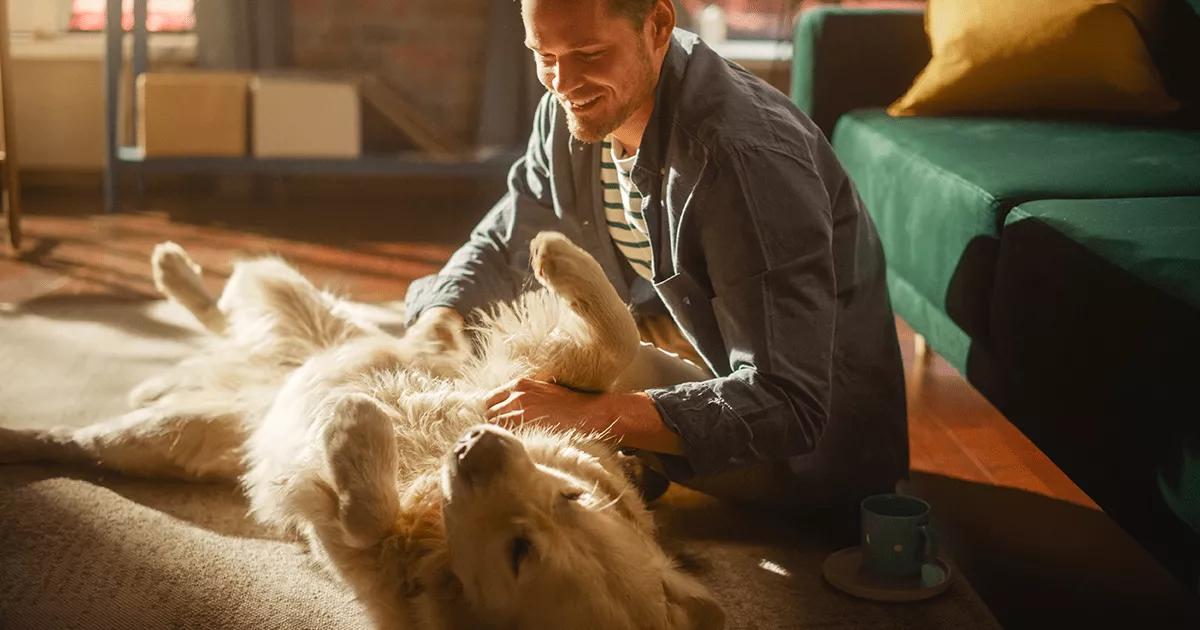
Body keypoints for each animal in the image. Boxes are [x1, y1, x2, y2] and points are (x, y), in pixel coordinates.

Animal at [0, 231, 720, 628]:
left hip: (162, 438)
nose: (477, 446)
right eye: (569, 497)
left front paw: (352, 420)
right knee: (232, 298)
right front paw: (559, 254)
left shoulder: (345, 541)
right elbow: (612, 336)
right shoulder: (523, 387)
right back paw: (171, 267)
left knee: (74, 439)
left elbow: (363, 514)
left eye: (523, 552)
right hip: (303, 303)